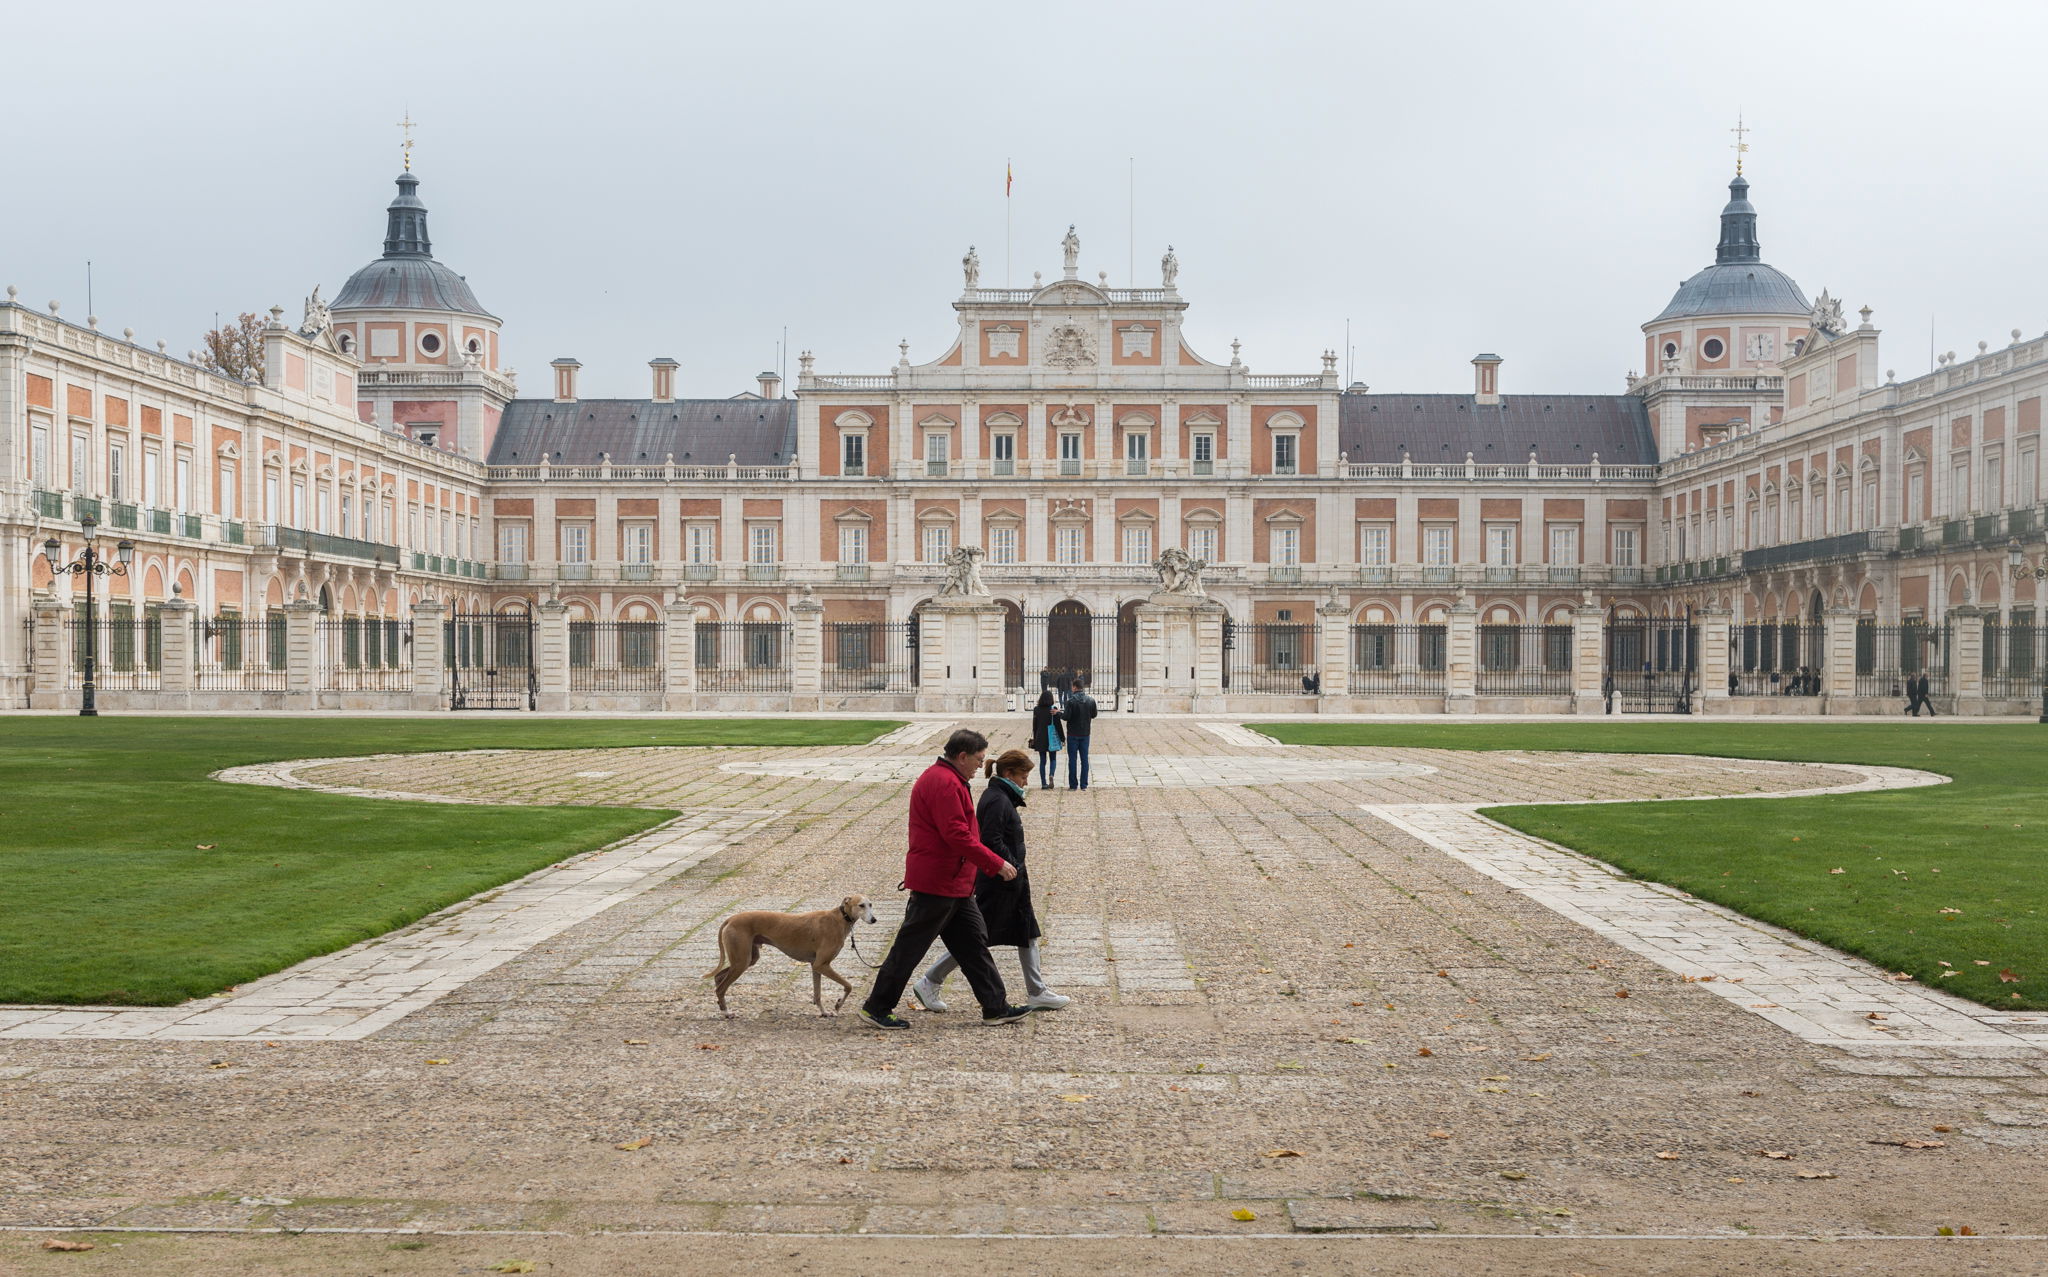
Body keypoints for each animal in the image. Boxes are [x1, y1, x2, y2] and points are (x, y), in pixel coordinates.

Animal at [708, 896, 876, 1019]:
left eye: (871, 904)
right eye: (861, 905)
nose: (874, 920)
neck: (839, 918)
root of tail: (731, 919)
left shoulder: (816, 966)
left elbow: (818, 995)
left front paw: (824, 1012)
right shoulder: (822, 965)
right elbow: (849, 985)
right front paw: (838, 1005)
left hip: (748, 959)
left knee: (718, 978)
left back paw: (722, 1006)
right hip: (742, 961)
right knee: (721, 987)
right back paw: (726, 1012)